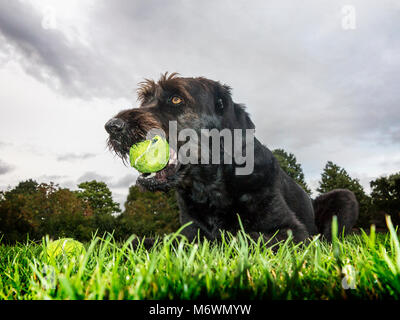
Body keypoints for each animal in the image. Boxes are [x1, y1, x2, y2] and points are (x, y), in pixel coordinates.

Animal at [105, 73, 360, 248]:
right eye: (145, 100)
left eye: (176, 99)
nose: (112, 126)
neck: (210, 186)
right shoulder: (187, 232)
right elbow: (143, 241)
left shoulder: (293, 231)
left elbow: (238, 237)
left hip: (345, 197)